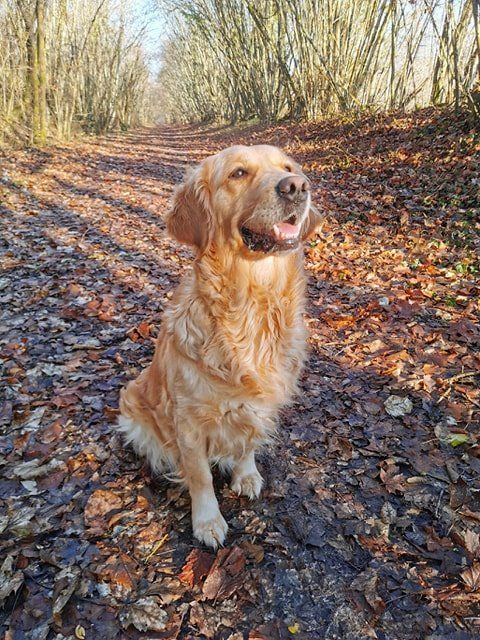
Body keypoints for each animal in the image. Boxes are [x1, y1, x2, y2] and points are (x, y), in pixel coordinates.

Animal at [118, 144, 320, 547]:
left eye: (288, 168)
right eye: (238, 173)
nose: (296, 187)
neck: (253, 303)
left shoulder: (258, 406)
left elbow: (247, 442)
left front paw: (246, 475)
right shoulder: (189, 423)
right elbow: (200, 475)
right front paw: (208, 521)